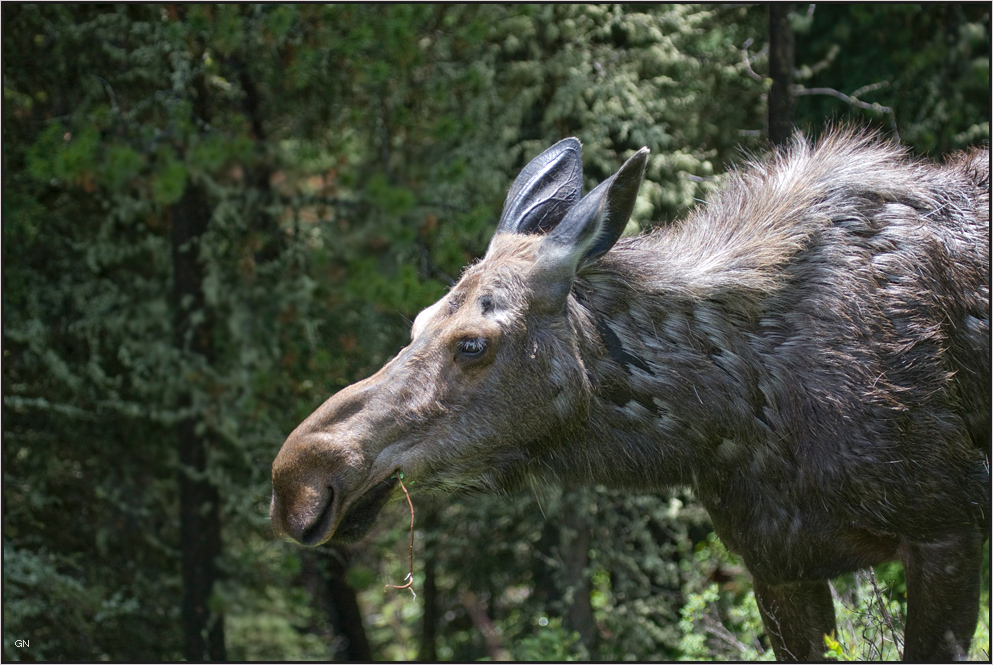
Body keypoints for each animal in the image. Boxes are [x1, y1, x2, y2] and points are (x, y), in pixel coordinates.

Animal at [268, 131, 988, 660]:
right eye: (417, 321)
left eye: (472, 342)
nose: (298, 477)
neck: (729, 414)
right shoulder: (777, 564)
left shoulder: (944, 529)